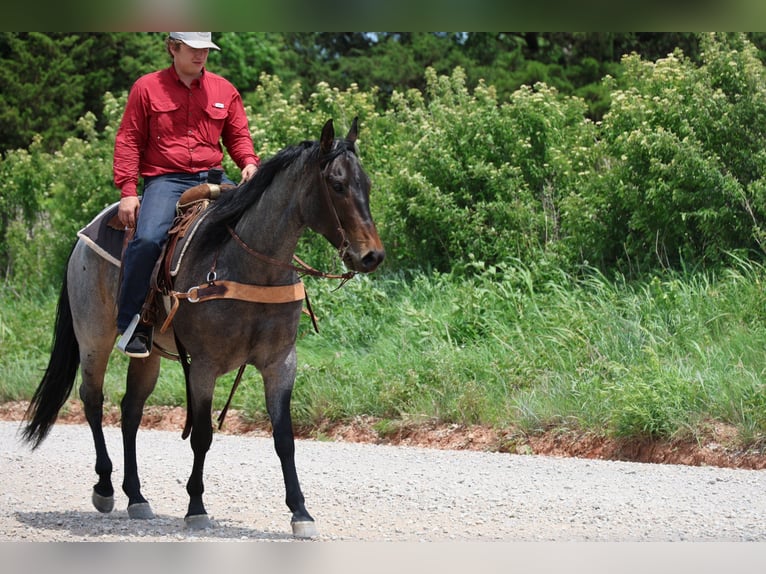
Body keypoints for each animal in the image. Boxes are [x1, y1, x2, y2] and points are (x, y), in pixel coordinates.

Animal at [21, 117, 384, 538]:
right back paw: (106, 488)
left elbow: (284, 439)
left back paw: (136, 497)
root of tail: (84, 234)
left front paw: (301, 513)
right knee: (92, 401)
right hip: (94, 338)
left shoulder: (280, 364)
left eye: (367, 184)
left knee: (130, 411)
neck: (248, 266)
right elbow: (202, 435)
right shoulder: (204, 367)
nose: (372, 256)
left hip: (148, 355)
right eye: (337, 184)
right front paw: (196, 506)